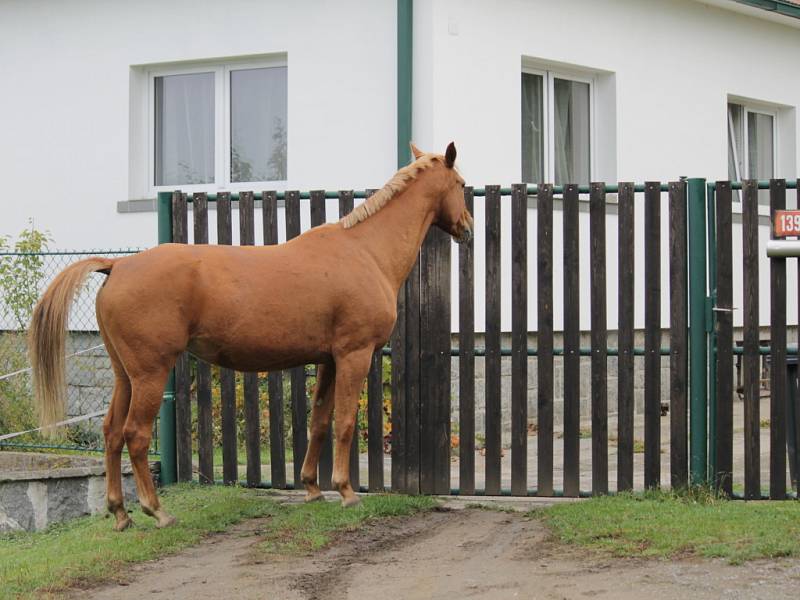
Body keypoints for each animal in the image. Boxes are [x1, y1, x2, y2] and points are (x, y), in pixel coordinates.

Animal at [28, 144, 472, 528]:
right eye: (461, 183)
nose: (467, 227)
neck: (364, 250)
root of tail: (117, 266)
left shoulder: (328, 360)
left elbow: (319, 422)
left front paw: (312, 488)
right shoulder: (354, 355)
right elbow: (345, 421)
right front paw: (346, 492)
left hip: (125, 376)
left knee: (110, 434)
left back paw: (121, 513)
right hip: (150, 375)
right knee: (134, 434)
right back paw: (157, 511)